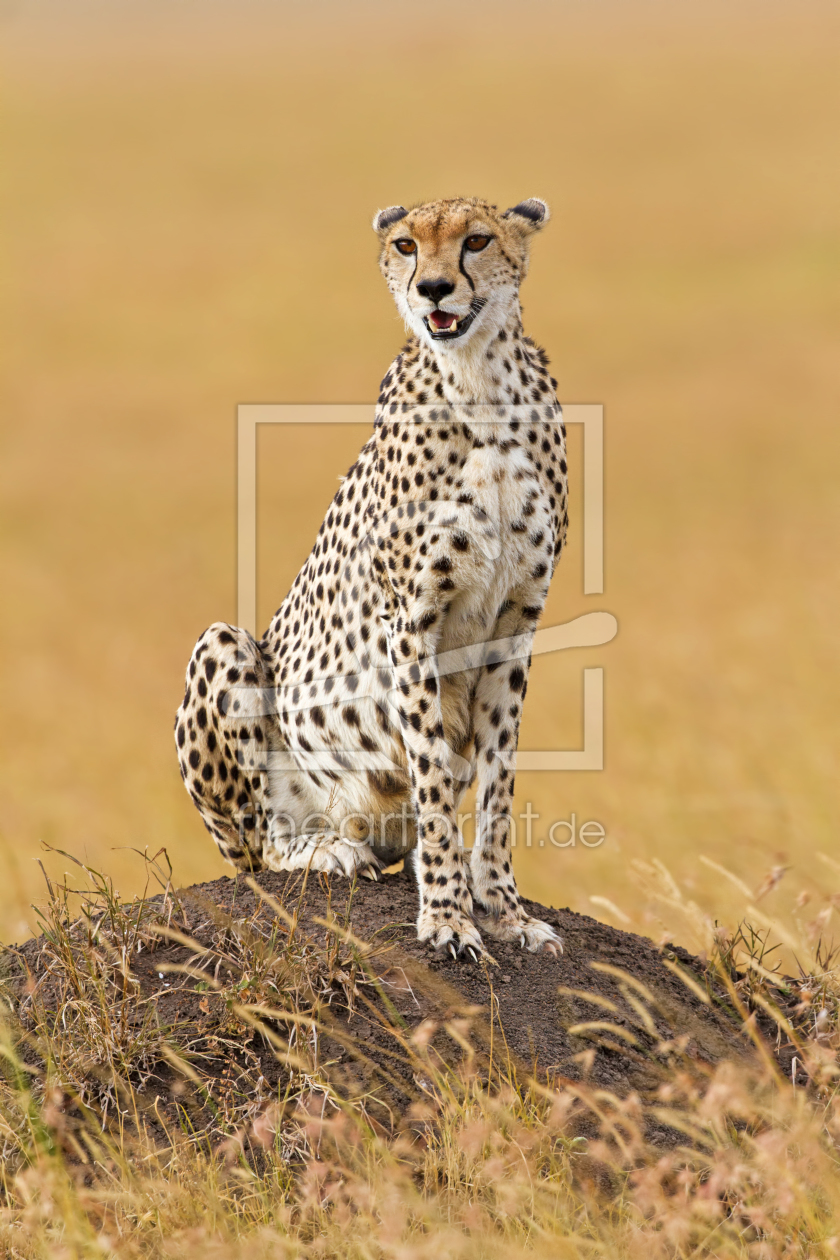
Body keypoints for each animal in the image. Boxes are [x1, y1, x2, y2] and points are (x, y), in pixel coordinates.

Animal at [177, 201, 571, 957]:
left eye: (477, 240)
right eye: (407, 245)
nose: (435, 289)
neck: (480, 385)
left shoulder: (517, 619)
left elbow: (497, 781)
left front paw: (504, 911)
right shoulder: (411, 619)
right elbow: (433, 773)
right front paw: (448, 916)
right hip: (225, 649)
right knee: (262, 849)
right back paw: (323, 849)